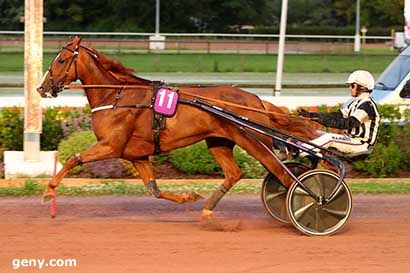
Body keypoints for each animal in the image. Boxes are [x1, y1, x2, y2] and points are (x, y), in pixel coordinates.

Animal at [36, 36, 318, 219]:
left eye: (61, 60)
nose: (41, 88)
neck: (115, 96)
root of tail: (257, 100)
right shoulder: (136, 154)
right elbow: (154, 190)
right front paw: (188, 197)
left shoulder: (111, 146)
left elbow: (73, 159)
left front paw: (48, 192)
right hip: (219, 141)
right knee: (235, 173)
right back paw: (208, 209)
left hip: (253, 141)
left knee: (283, 176)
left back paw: (310, 204)